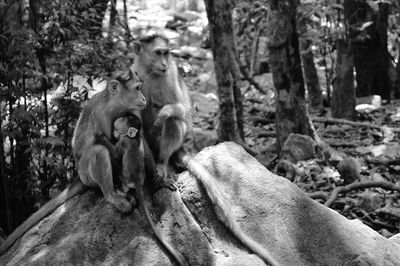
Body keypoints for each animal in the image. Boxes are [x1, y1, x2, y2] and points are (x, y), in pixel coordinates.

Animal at [0, 71, 147, 256]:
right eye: (137, 88)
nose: (143, 98)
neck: (115, 104)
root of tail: (78, 176)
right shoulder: (99, 111)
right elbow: (100, 146)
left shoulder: (132, 111)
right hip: (85, 174)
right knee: (98, 152)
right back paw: (112, 195)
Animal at [93, 114, 185, 266]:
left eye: (117, 129)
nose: (113, 133)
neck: (133, 138)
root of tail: (136, 181)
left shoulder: (123, 141)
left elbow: (116, 153)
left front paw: (101, 138)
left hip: (125, 180)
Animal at [130, 33, 278, 266]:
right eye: (157, 53)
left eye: (166, 53)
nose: (164, 63)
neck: (151, 72)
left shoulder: (170, 77)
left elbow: (182, 109)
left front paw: (162, 113)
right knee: (141, 133)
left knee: (174, 122)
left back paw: (162, 162)